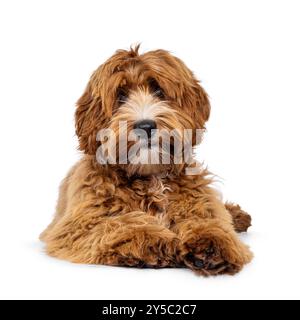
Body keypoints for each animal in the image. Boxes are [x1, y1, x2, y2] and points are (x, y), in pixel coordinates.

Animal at [38, 45, 252, 276]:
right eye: (121, 96)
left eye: (158, 91)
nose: (146, 126)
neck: (151, 177)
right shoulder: (76, 227)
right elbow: (120, 224)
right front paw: (157, 240)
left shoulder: (199, 200)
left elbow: (208, 219)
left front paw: (211, 243)